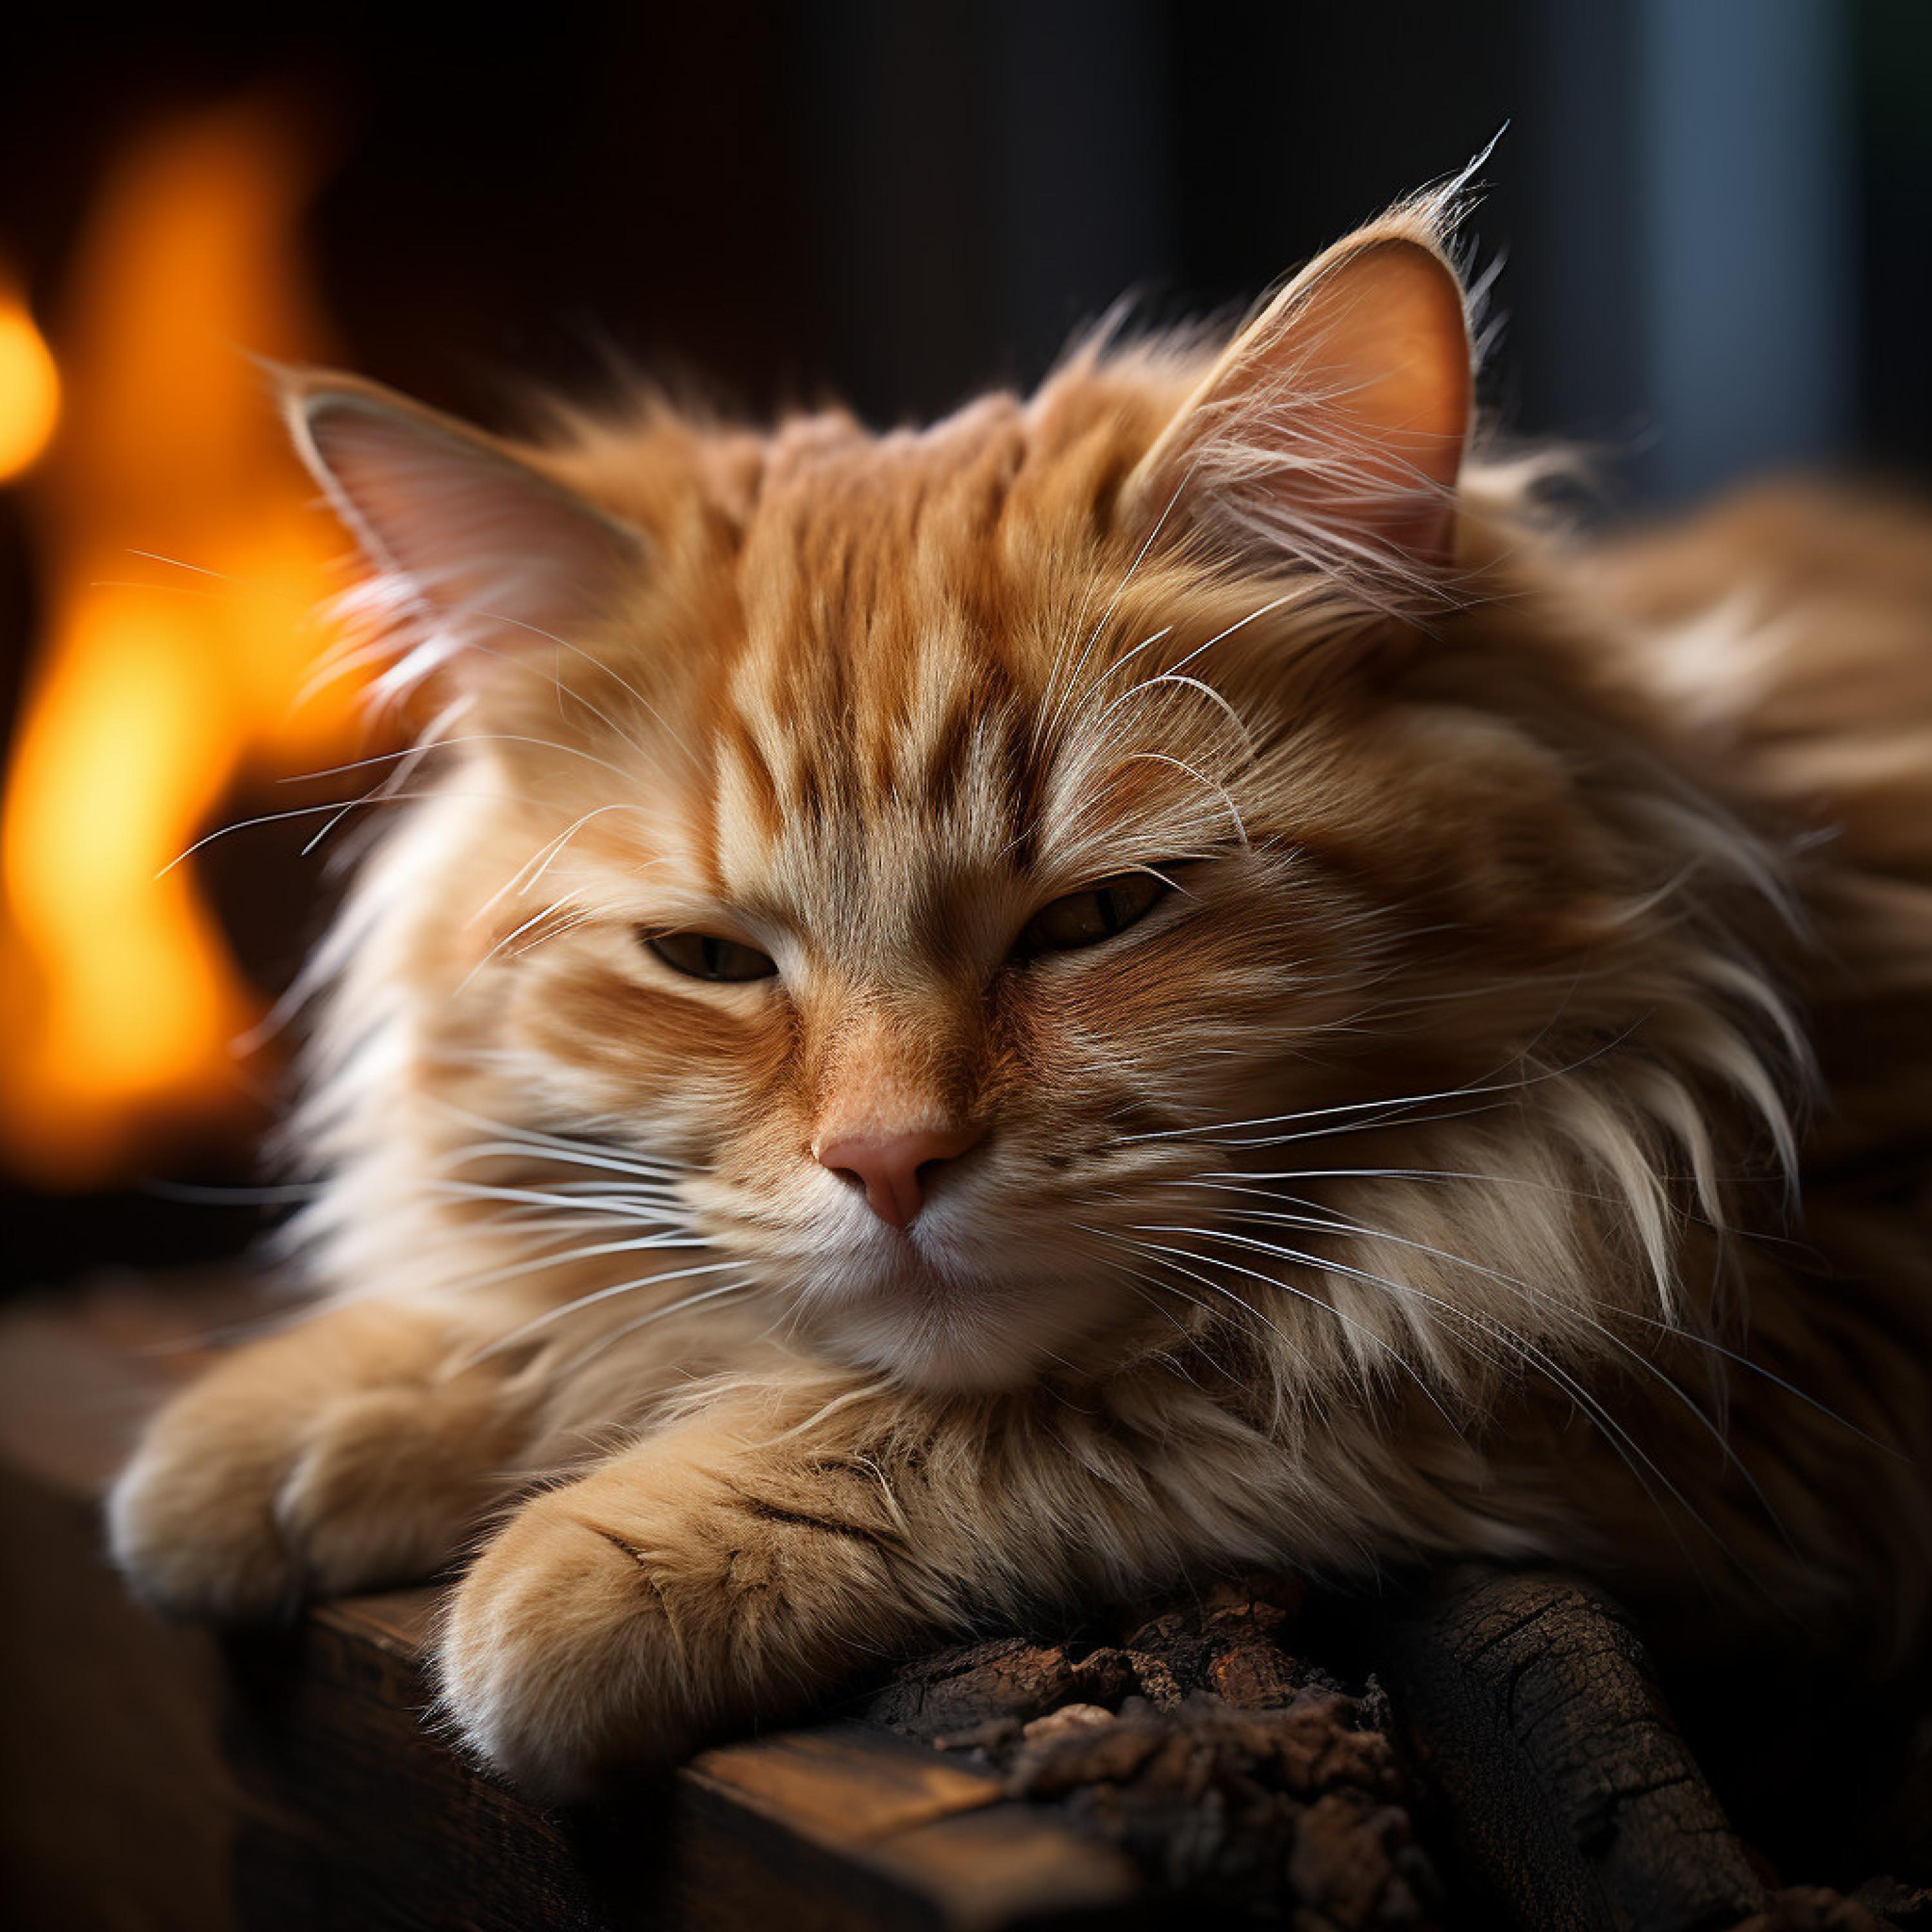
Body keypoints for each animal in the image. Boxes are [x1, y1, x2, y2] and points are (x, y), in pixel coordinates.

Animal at [102, 188, 1932, 1801]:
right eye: (708, 961)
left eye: (1099, 917)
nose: (887, 1162)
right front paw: (323, 1411)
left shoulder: (1731, 1394)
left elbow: (1108, 1397)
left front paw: (607, 1549)